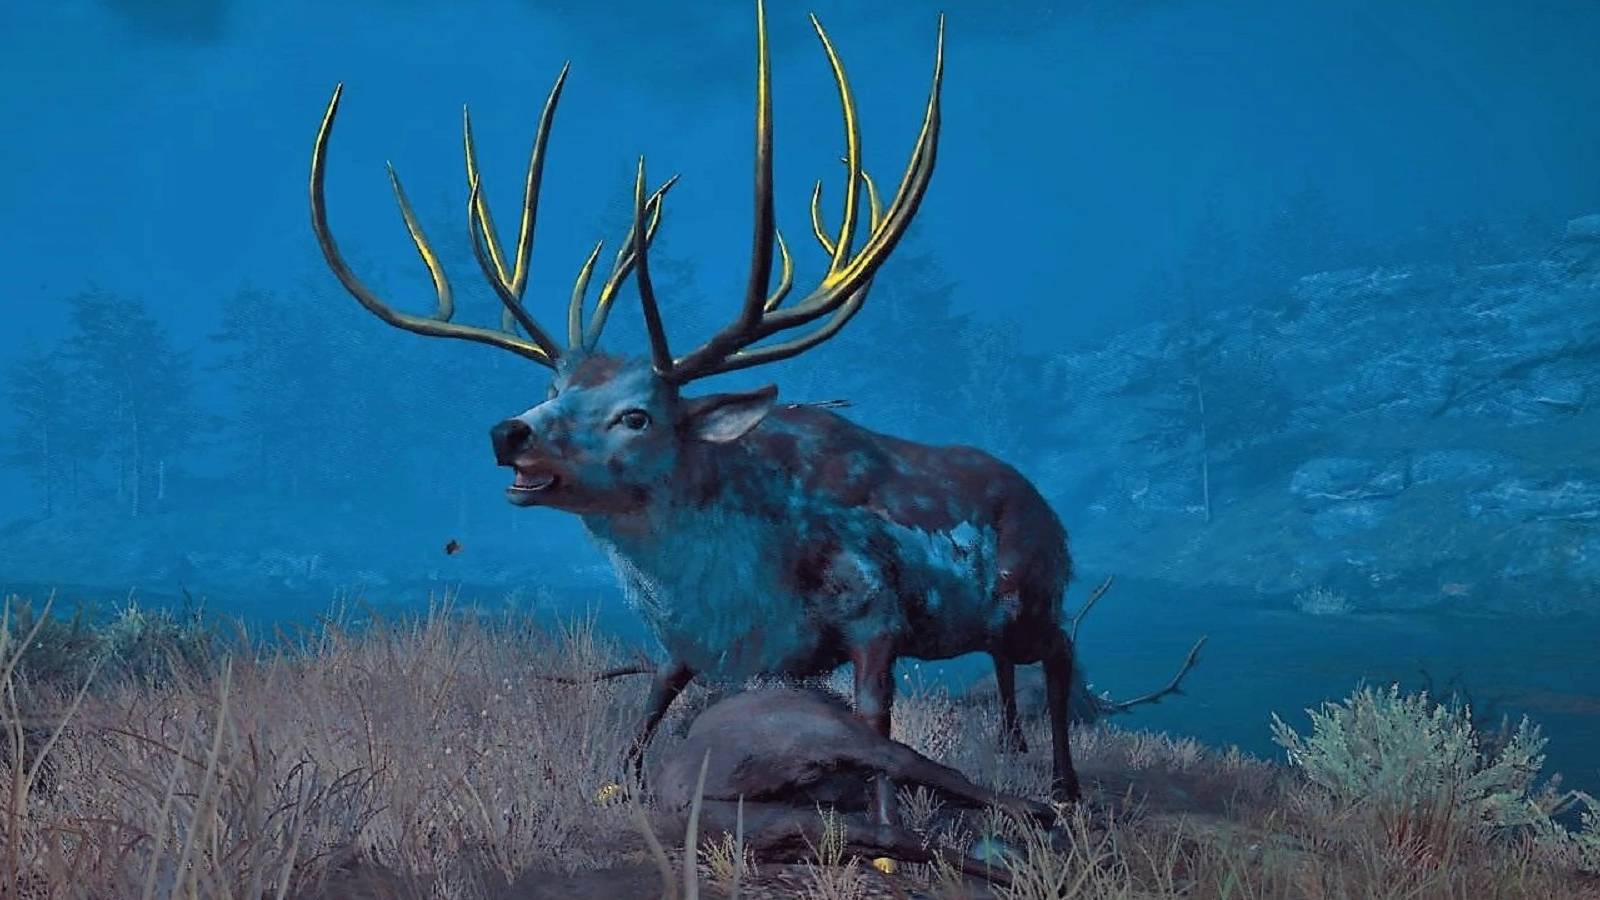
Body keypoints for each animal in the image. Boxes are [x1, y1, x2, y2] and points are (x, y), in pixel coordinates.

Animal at [308, 2, 1085, 816]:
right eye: (554, 392)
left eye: (637, 416)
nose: (507, 431)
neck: (736, 579)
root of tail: (1046, 505)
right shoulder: (692, 637)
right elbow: (655, 694)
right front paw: (620, 778)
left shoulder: (875, 609)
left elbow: (876, 719)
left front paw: (886, 815)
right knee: (1008, 664)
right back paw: (1014, 746)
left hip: (1034, 593)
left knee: (1061, 651)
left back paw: (1063, 785)